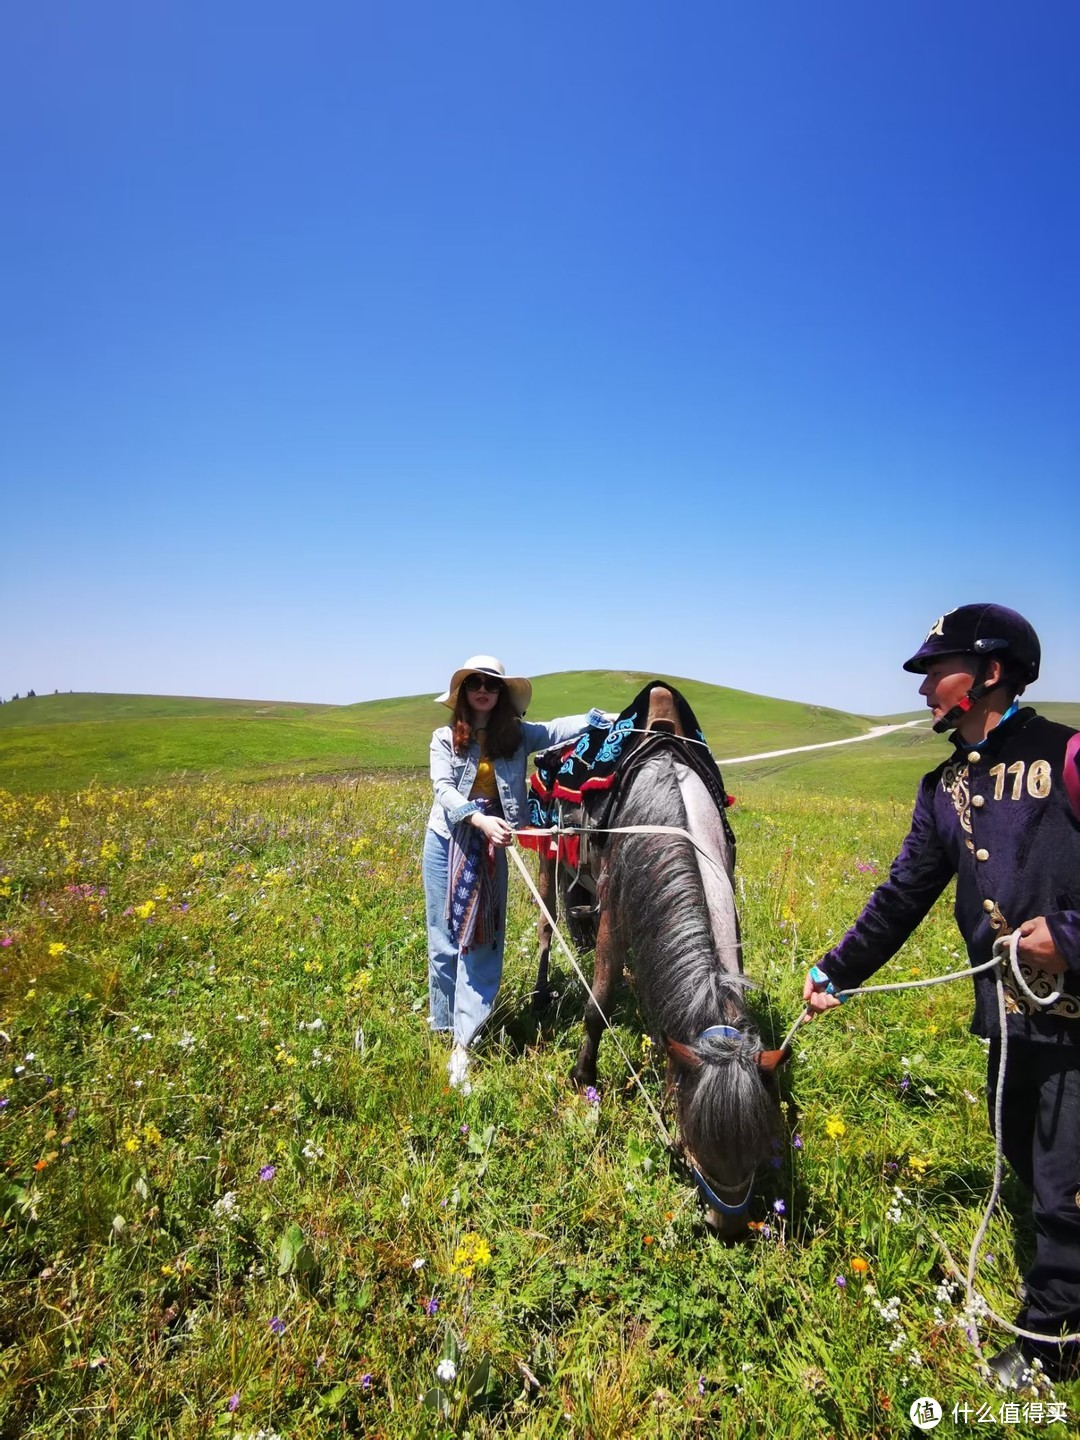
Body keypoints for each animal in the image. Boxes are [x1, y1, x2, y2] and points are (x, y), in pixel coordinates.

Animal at [535, 685, 789, 1238]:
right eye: (695, 1136)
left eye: (758, 1147)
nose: (726, 1224)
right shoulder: (614, 915)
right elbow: (598, 1004)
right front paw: (583, 1077)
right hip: (547, 852)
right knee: (546, 924)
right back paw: (541, 995)